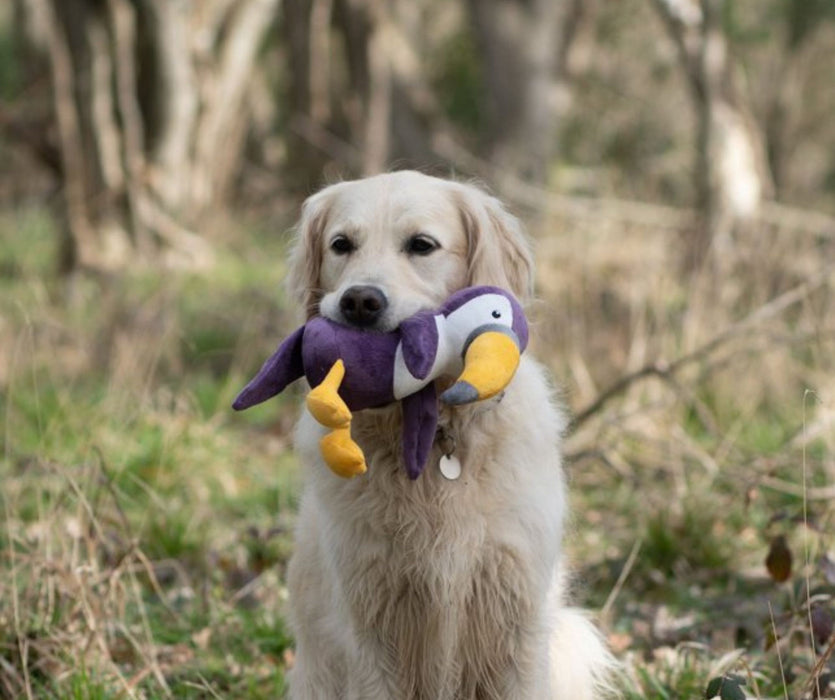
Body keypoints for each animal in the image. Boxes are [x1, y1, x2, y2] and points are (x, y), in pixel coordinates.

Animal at [280, 171, 612, 700]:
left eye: (422, 245)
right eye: (341, 245)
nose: (359, 301)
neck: (433, 437)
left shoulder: (515, 613)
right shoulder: (370, 624)